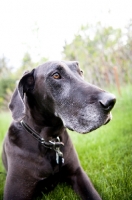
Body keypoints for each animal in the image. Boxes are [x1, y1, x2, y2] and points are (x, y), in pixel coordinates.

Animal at [2, 61, 115, 200]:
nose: (111, 101)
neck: (49, 141)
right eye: (56, 75)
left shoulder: (77, 174)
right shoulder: (16, 191)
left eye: (80, 71)